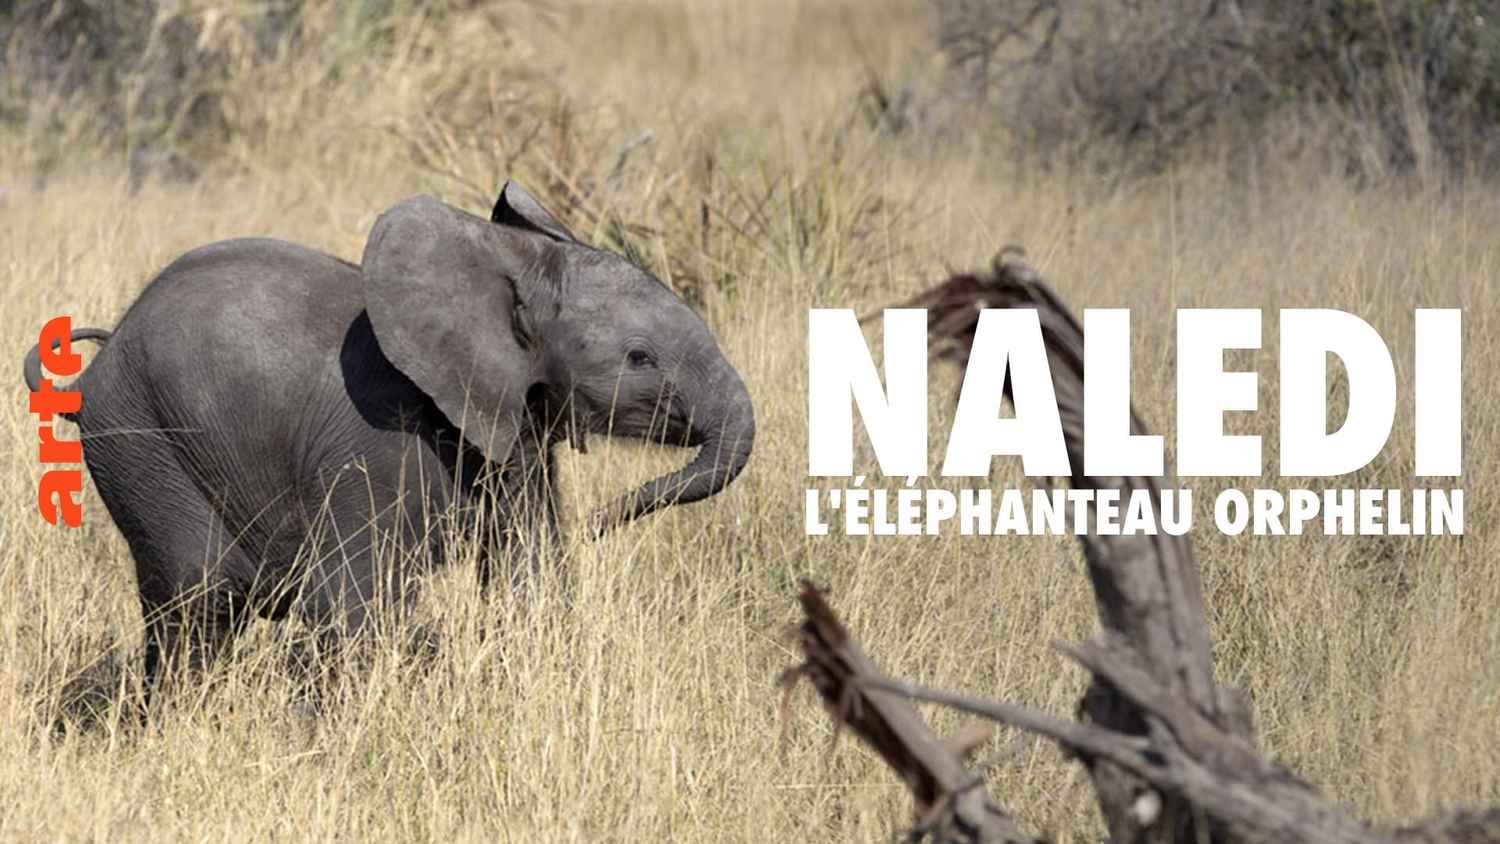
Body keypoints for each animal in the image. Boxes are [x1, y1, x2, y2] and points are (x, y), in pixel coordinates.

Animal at [21, 181, 755, 690]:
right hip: (140, 439)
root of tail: (100, 359)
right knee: (202, 596)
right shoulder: (377, 439)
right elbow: (352, 601)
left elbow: (529, 577)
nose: (603, 520)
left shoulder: (512, 431)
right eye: (640, 357)